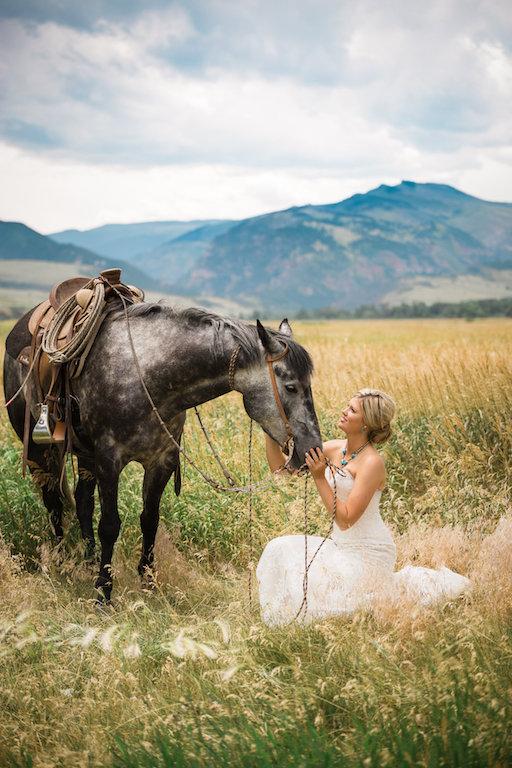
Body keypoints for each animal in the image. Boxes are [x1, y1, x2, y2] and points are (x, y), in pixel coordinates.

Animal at [4, 304, 322, 604]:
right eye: (291, 386)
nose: (311, 451)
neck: (148, 377)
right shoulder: (109, 461)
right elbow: (109, 525)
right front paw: (104, 594)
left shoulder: (162, 460)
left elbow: (150, 520)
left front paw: (149, 583)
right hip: (41, 452)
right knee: (54, 503)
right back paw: (61, 563)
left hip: (85, 455)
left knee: (82, 501)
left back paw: (89, 560)